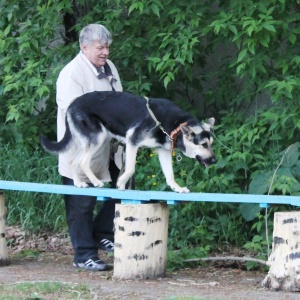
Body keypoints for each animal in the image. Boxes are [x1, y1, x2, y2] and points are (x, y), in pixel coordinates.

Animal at [41, 91, 217, 193]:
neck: (173, 125)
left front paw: (177, 188)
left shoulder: (163, 152)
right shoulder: (132, 141)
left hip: (90, 142)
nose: (215, 160)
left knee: (73, 161)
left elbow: (170, 174)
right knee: (83, 162)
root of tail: (71, 104)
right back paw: (96, 182)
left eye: (211, 144)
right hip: (98, 138)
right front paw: (121, 182)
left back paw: (78, 183)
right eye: (203, 145)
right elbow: (131, 168)